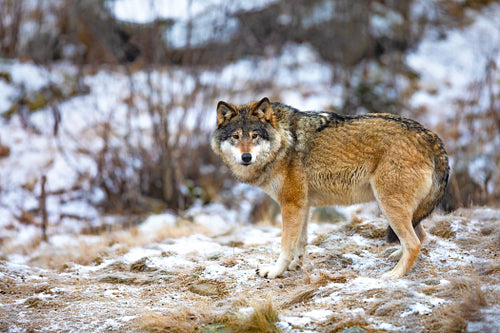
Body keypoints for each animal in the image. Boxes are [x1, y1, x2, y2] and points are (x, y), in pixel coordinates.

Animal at [211, 96, 450, 278]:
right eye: (235, 136)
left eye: (254, 136)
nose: (246, 157)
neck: (283, 142)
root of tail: (431, 136)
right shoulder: (303, 205)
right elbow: (300, 242)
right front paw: (295, 266)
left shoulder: (291, 204)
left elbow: (286, 245)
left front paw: (275, 271)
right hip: (398, 208)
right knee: (421, 236)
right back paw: (395, 257)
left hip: (388, 205)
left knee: (414, 243)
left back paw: (393, 275)